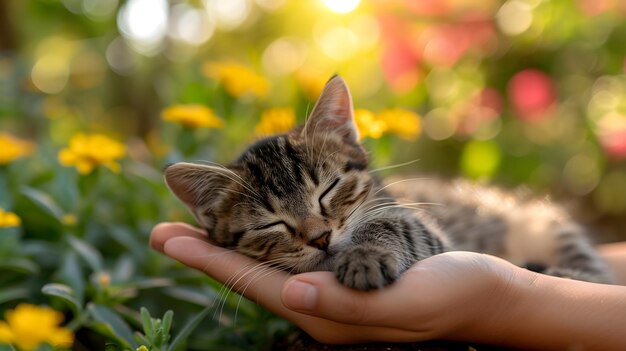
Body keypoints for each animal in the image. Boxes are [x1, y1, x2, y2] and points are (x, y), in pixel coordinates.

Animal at [163, 75, 612, 292]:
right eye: (271, 224)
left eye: (328, 191)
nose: (320, 238)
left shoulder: (427, 228)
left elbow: (394, 224)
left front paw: (365, 255)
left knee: (602, 276)